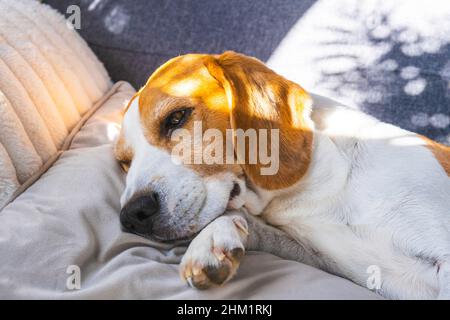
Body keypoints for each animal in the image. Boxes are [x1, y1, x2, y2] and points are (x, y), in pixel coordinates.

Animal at [115, 51, 450, 298]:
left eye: (176, 117)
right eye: (124, 161)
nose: (131, 215)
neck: (324, 190)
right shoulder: (317, 255)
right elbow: (243, 221)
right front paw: (210, 241)